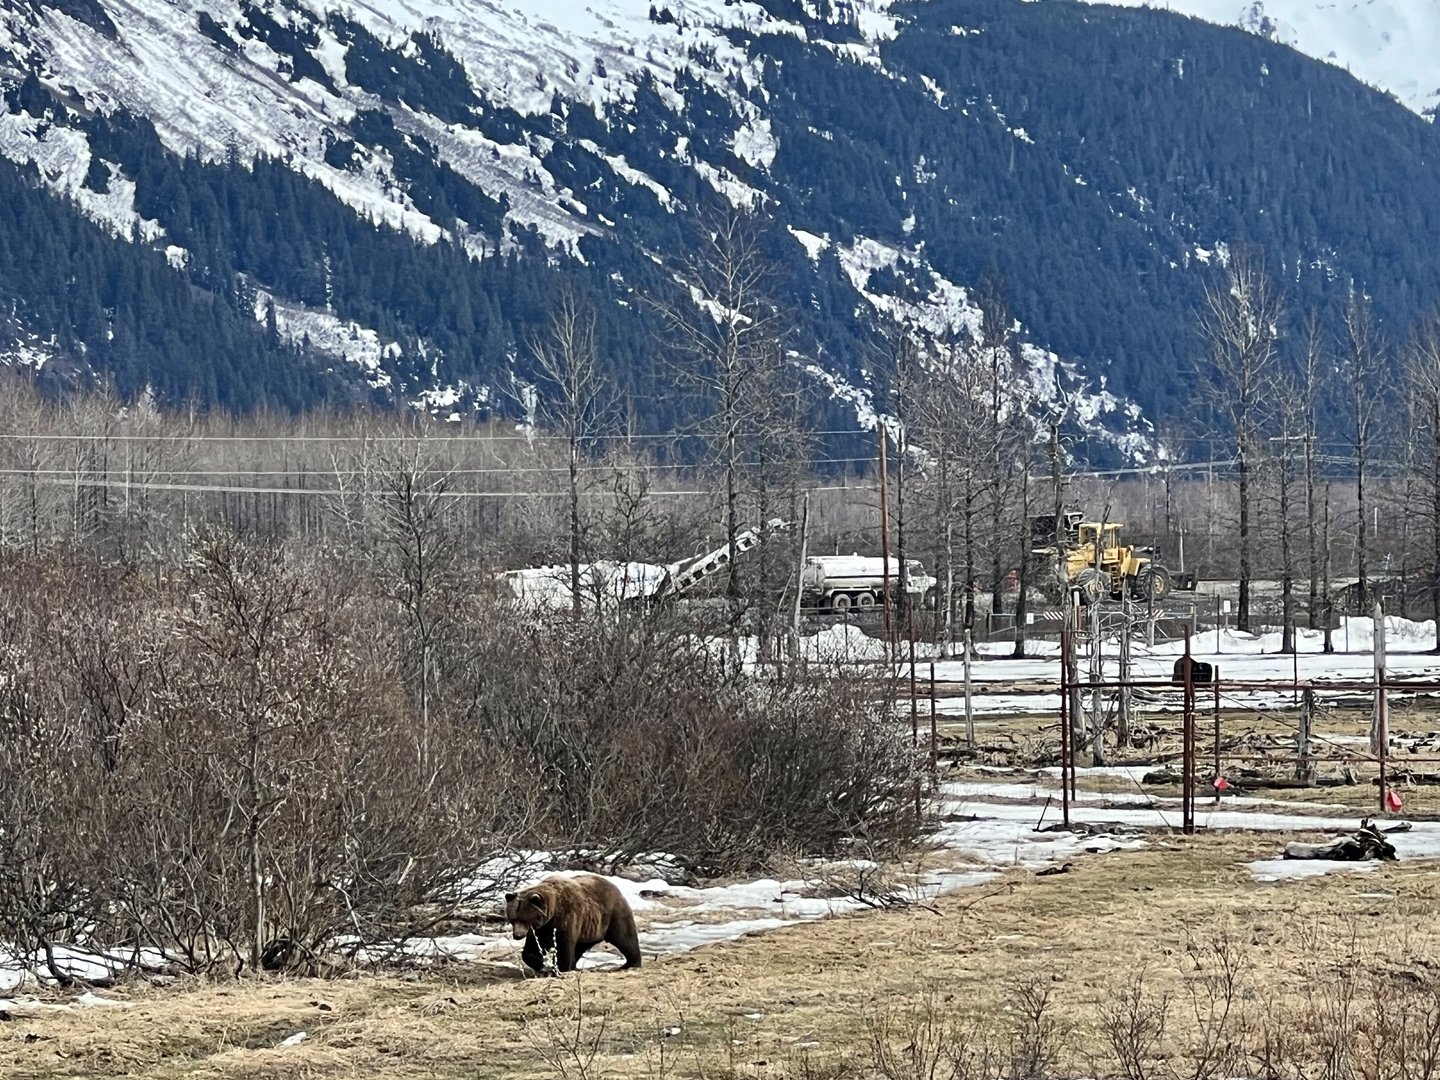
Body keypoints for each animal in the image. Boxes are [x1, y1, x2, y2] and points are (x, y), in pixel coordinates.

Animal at [504, 874, 643, 975]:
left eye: (525, 919)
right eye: (512, 919)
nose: (517, 935)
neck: (552, 912)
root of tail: (615, 886)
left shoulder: (566, 917)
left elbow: (563, 945)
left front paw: (559, 968)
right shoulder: (540, 929)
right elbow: (532, 948)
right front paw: (542, 964)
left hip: (613, 914)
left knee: (625, 938)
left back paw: (631, 963)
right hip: (589, 929)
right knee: (580, 947)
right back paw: (574, 965)